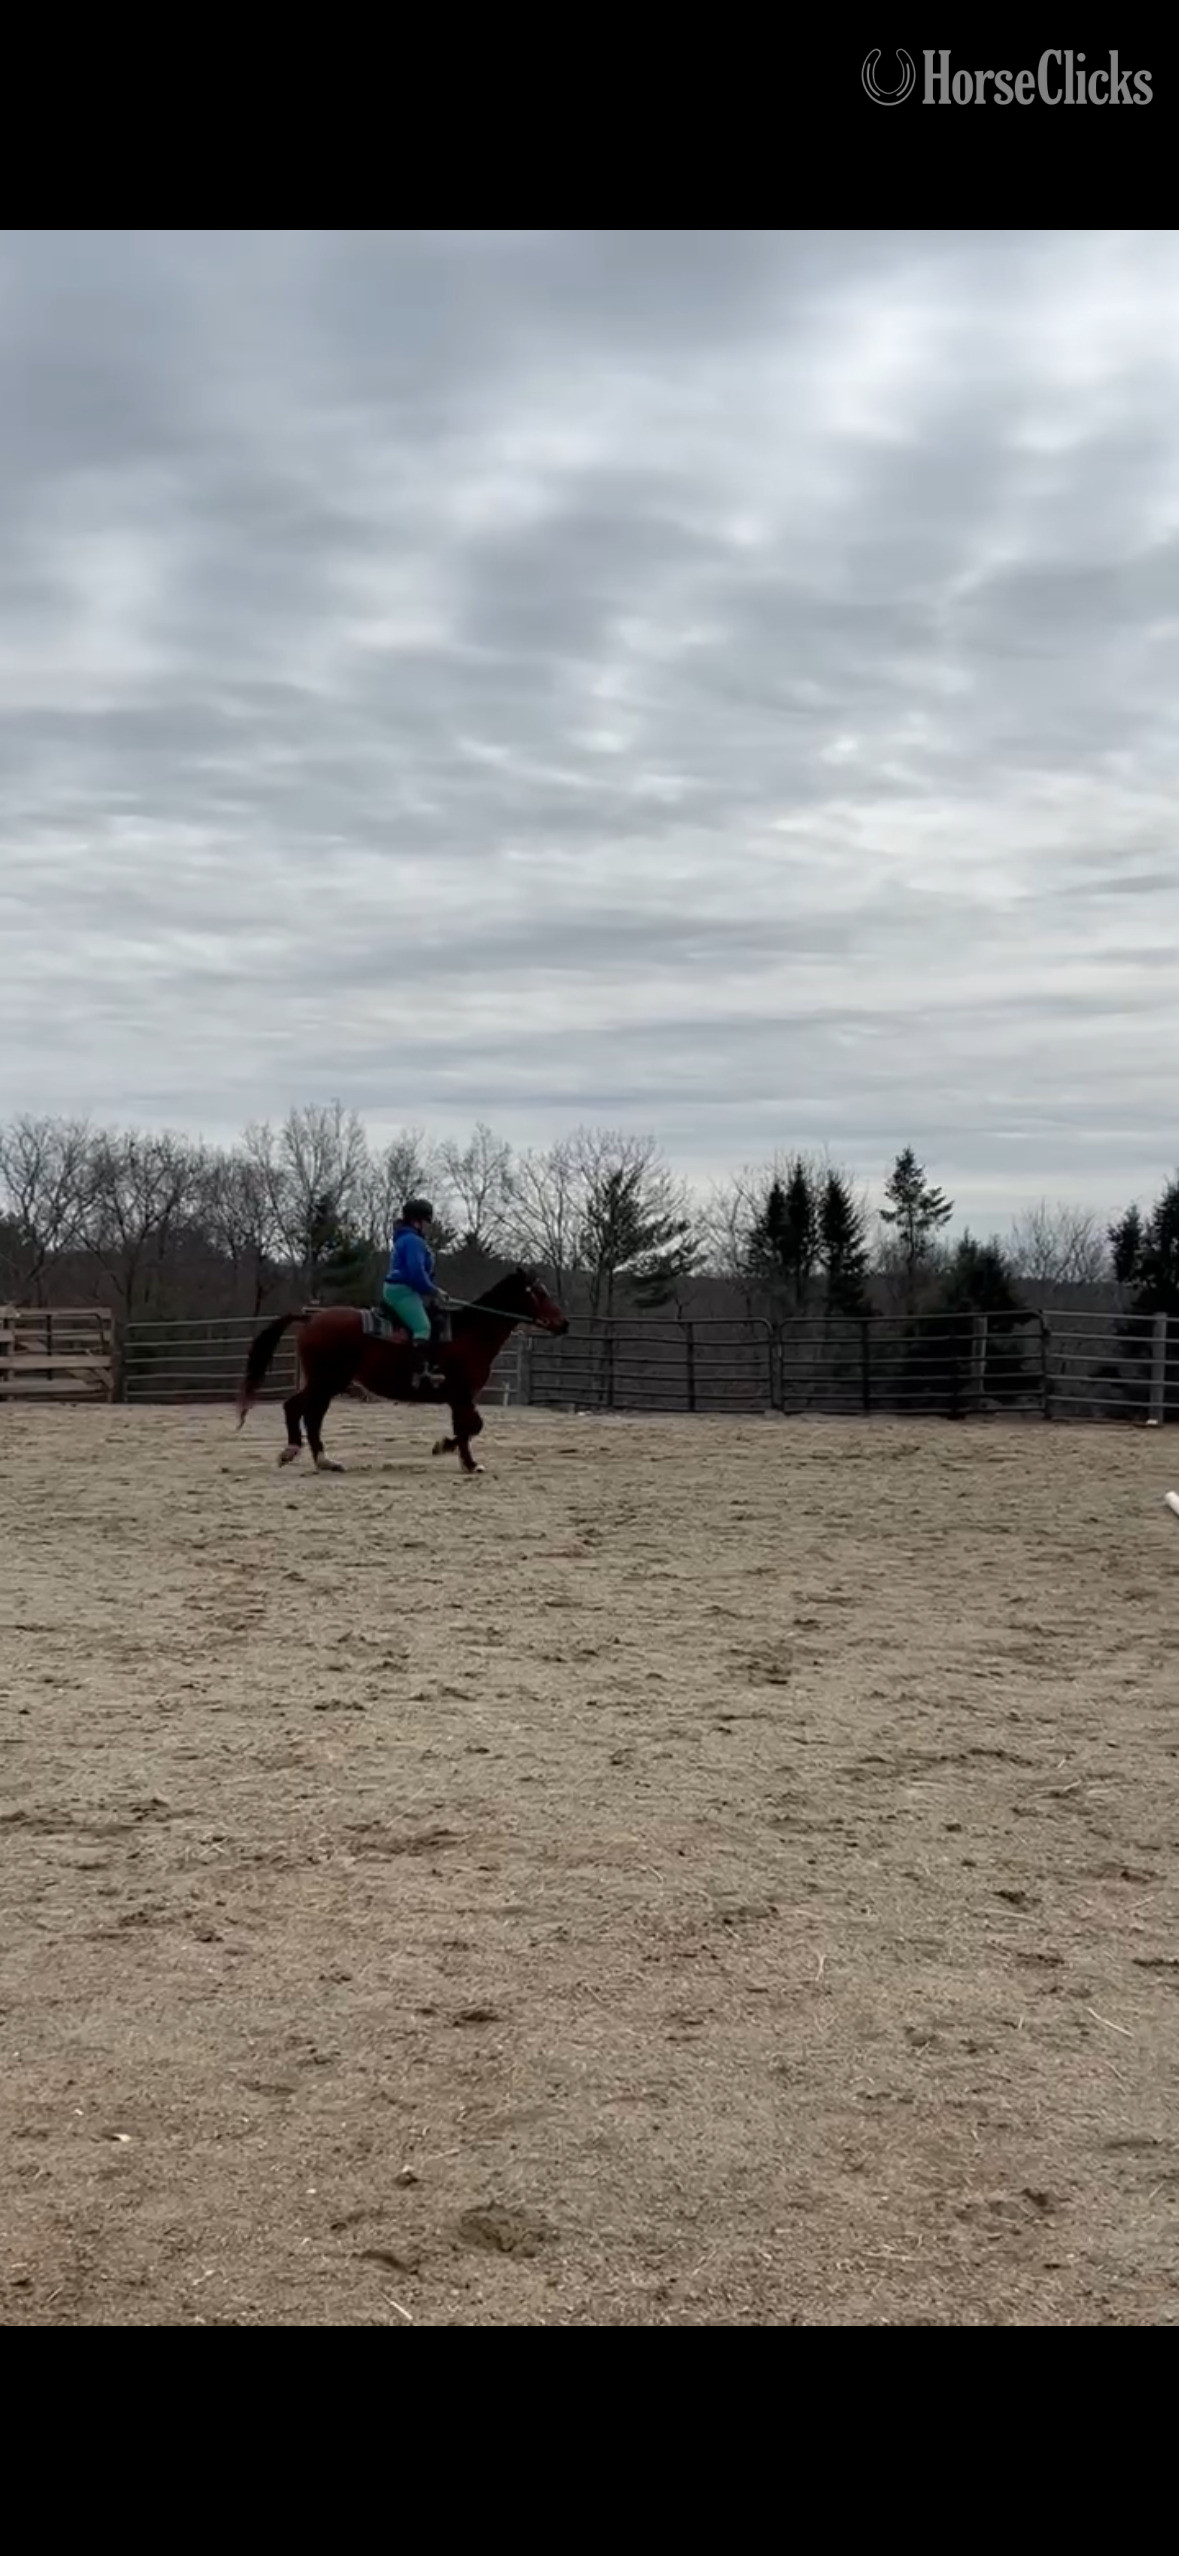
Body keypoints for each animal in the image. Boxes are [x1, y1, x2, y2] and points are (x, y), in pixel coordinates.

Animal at [235, 1265, 568, 1475]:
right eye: (539, 1293)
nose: (563, 1323)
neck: (468, 1333)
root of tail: (311, 1318)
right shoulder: (462, 1395)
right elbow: (472, 1427)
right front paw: (453, 1454)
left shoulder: (459, 1399)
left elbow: (466, 1428)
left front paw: (462, 1458)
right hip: (326, 1381)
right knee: (299, 1410)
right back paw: (297, 1453)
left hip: (326, 1384)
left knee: (308, 1415)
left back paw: (323, 1460)